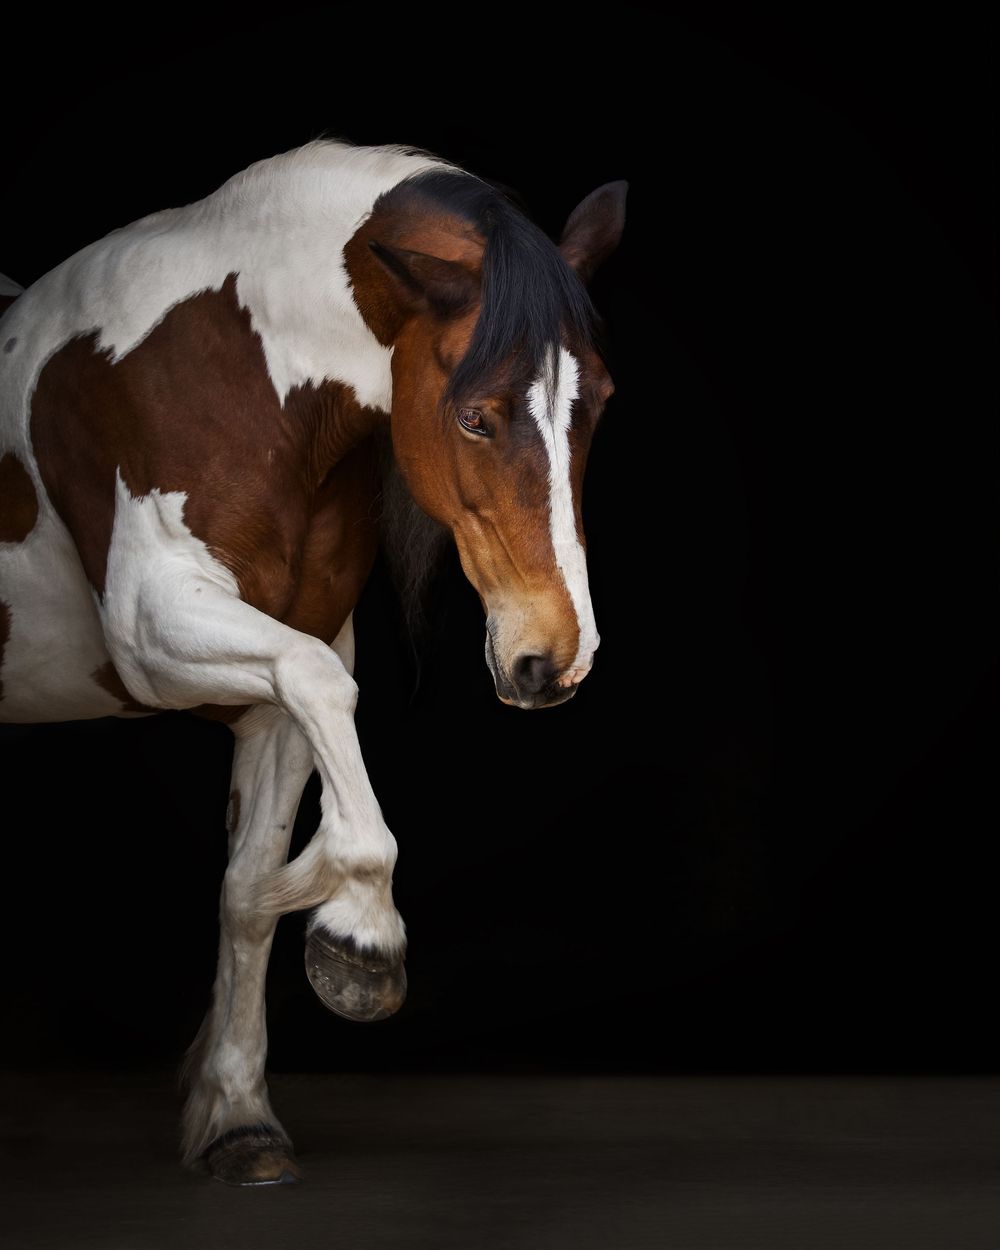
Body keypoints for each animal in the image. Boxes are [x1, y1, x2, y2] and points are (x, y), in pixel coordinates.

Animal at [0, 141, 626, 1184]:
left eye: (600, 405)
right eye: (475, 418)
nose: (556, 658)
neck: (234, 376)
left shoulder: (282, 674)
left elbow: (246, 895)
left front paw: (237, 1115)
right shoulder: (154, 628)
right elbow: (332, 703)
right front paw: (361, 932)